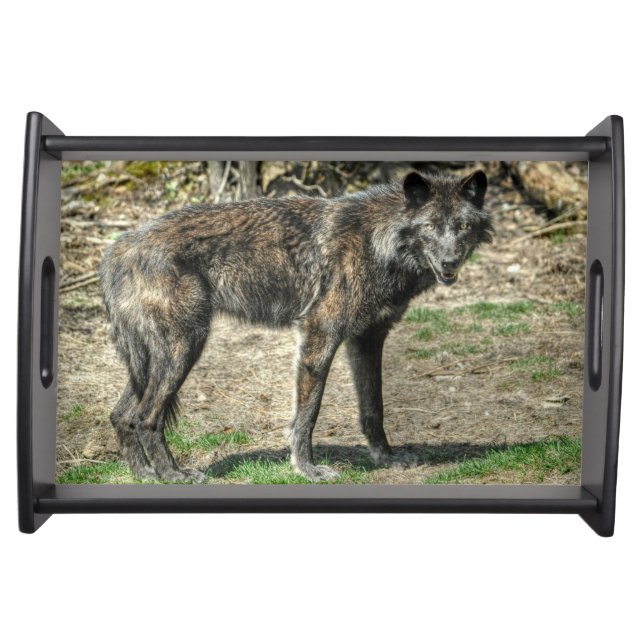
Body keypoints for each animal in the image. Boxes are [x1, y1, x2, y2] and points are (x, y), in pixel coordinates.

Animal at [99, 169, 493, 482]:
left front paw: (386, 458)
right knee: (146, 417)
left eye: (462, 226)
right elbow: (308, 414)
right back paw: (173, 475)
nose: (450, 262)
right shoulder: (319, 333)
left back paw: (145, 474)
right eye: (430, 227)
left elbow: (373, 408)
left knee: (121, 415)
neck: (378, 243)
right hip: (184, 348)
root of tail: (119, 247)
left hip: (154, 361)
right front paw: (307, 469)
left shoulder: (368, 339)